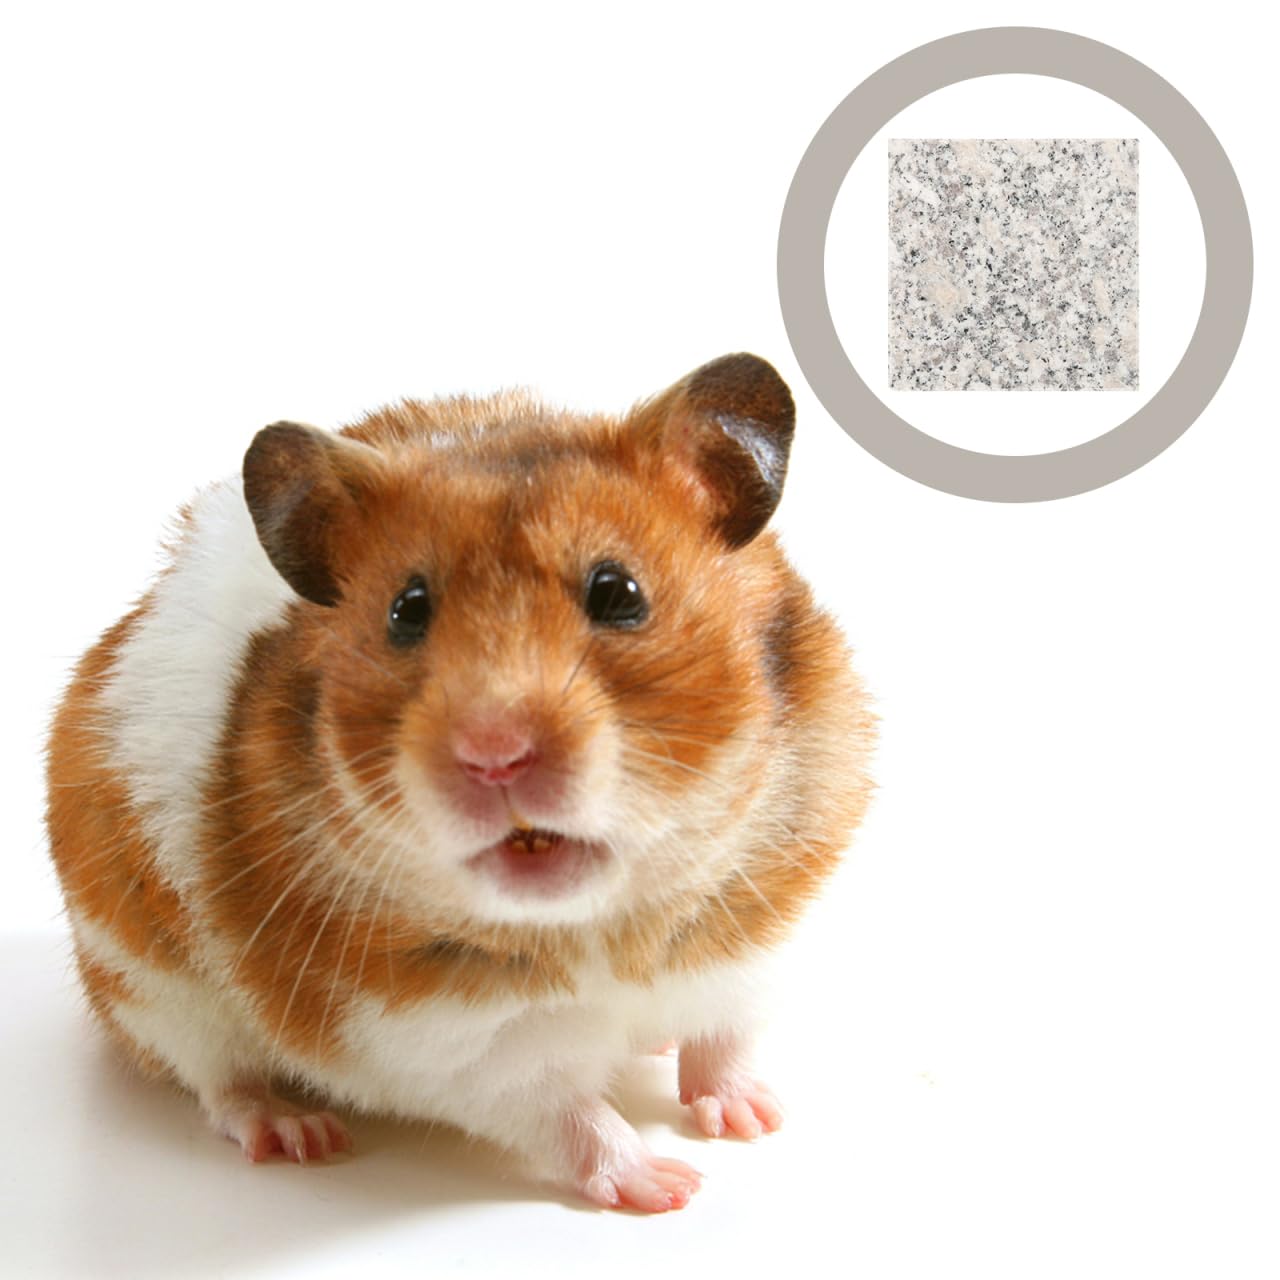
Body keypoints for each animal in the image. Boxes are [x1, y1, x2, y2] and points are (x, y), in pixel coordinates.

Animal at [45, 353, 875, 1213]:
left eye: (618, 592)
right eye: (406, 611)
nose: (494, 754)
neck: (595, 923)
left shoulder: (752, 943)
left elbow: (725, 1044)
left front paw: (756, 1123)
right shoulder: (452, 1039)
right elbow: (571, 1116)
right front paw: (671, 1187)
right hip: (148, 980)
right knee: (221, 1083)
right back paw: (300, 1133)